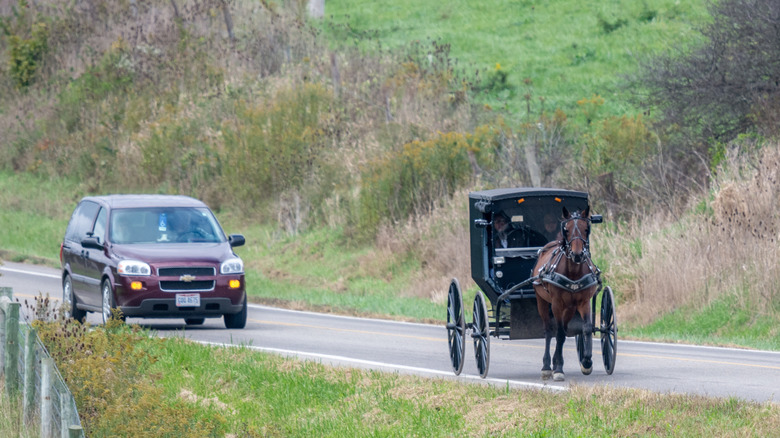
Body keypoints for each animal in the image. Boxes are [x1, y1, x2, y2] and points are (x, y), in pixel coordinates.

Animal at [532, 205, 600, 380]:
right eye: (567, 230)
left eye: (586, 229)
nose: (577, 254)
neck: (573, 272)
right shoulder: (556, 304)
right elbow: (560, 334)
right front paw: (558, 369)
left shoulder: (583, 302)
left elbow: (586, 328)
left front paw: (587, 362)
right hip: (542, 301)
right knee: (549, 330)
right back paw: (547, 366)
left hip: (569, 308)